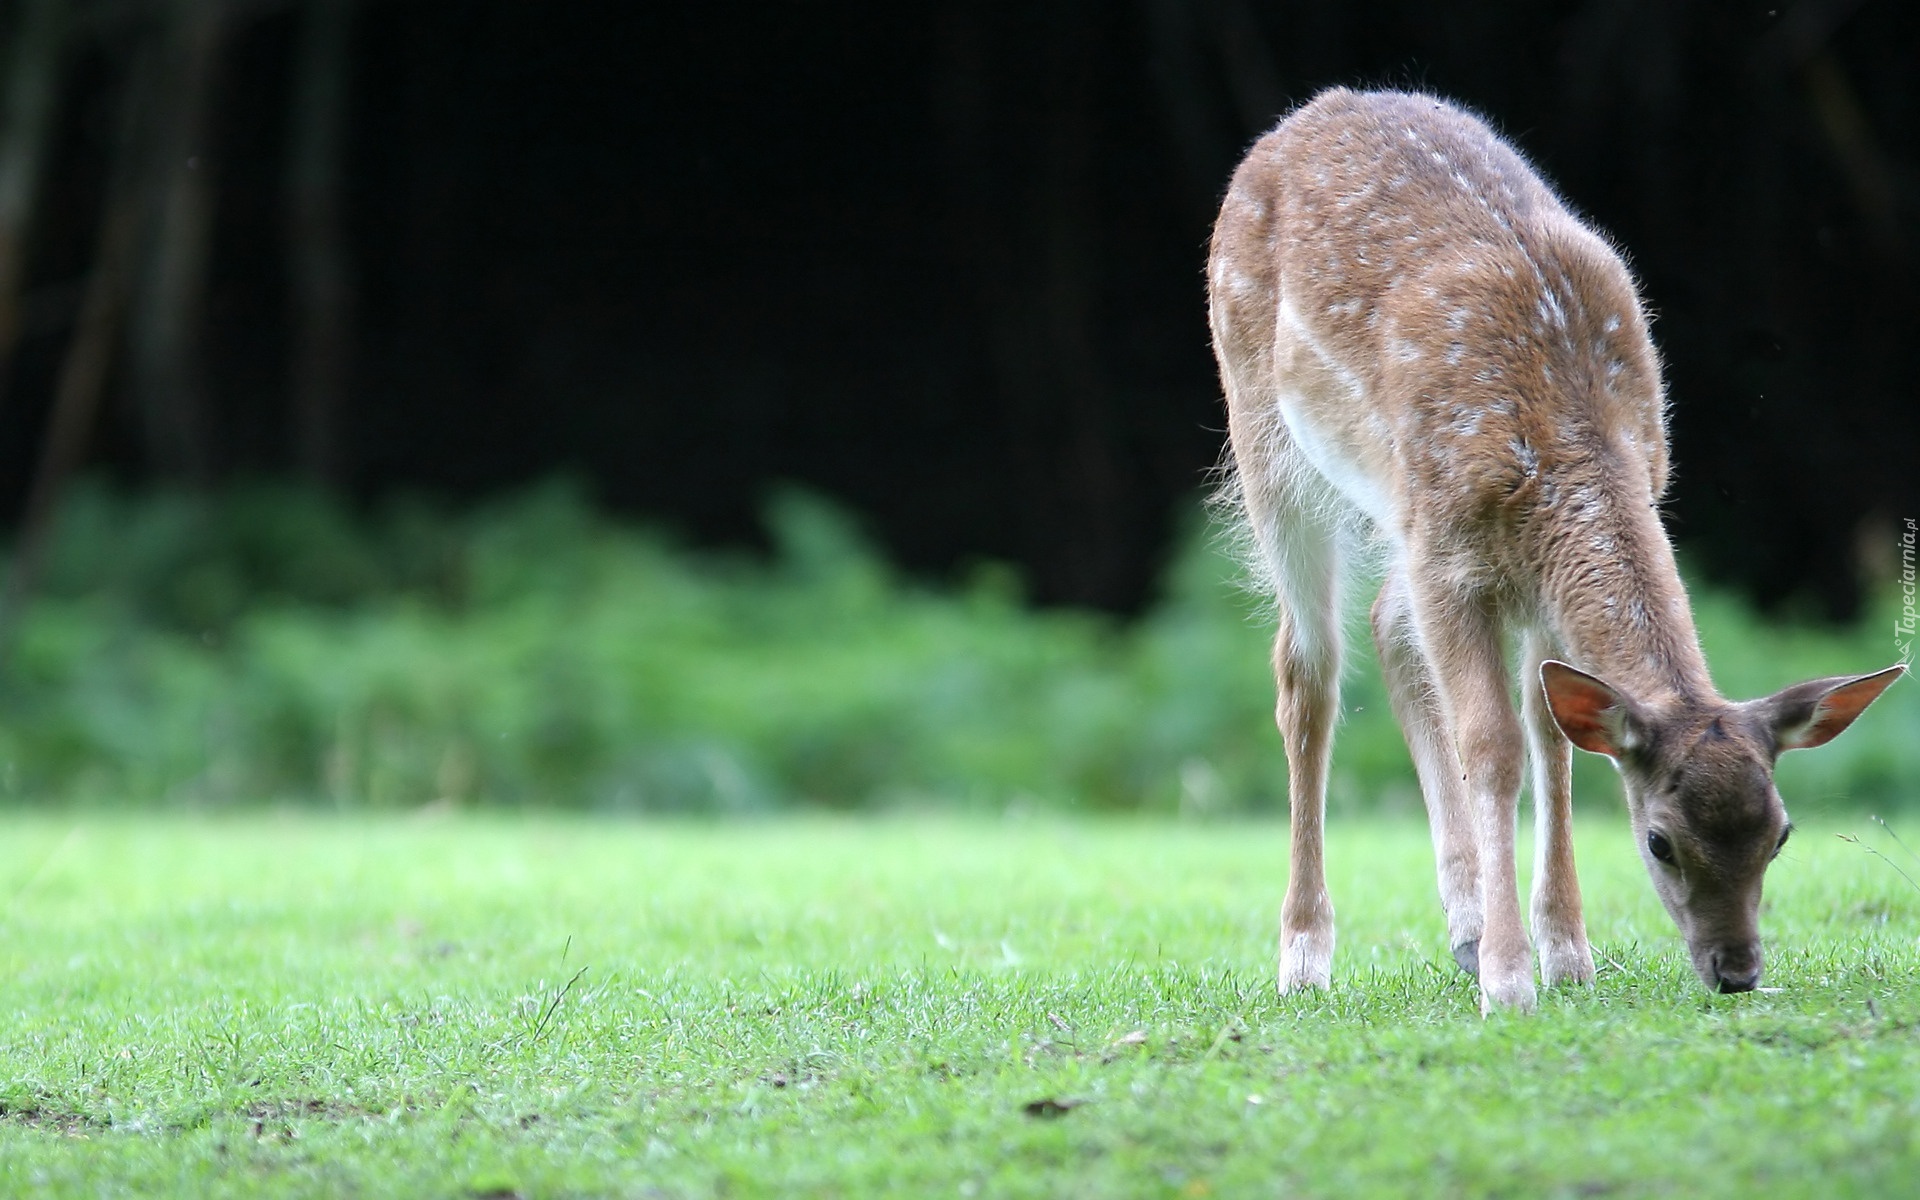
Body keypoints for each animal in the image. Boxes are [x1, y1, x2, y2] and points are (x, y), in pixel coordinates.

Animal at [1205, 88, 1896, 1013]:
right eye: (1659, 841)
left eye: (1781, 833)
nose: (1738, 971)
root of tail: (1304, 116)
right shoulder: (1450, 550)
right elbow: (1494, 747)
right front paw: (1510, 980)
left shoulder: (1526, 572)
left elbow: (1553, 734)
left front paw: (1567, 954)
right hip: (1265, 432)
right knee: (1306, 670)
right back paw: (1305, 957)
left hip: (1392, 512)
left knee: (1387, 622)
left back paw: (1460, 928)